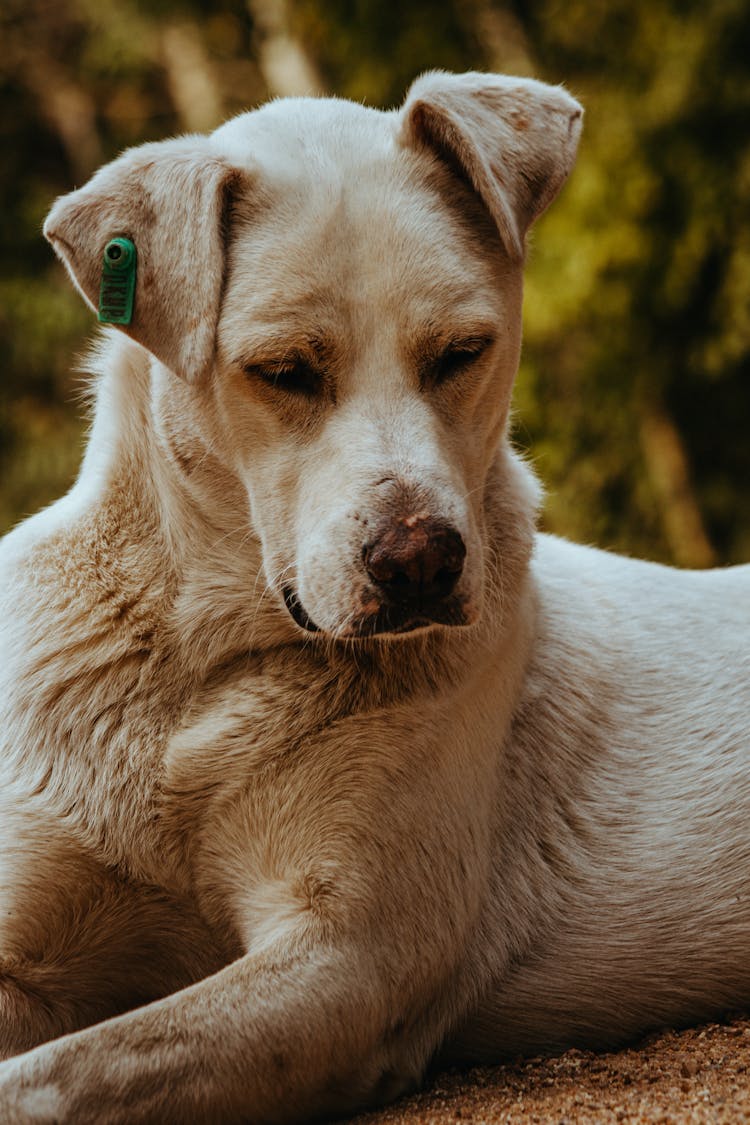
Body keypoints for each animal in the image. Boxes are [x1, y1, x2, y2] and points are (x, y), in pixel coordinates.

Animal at [0, 72, 746, 1125]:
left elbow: (51, 1075)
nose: (421, 562)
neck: (205, 658)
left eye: (463, 352)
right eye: (282, 371)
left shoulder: (349, 962)